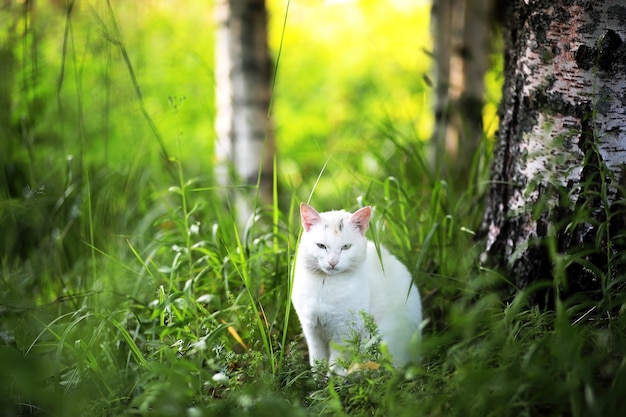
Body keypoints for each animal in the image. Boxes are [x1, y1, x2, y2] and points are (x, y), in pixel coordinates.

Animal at [292, 202, 420, 374]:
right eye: (321, 246)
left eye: (346, 247)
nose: (333, 262)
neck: (325, 285)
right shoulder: (312, 330)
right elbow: (317, 360)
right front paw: (317, 379)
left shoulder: (343, 333)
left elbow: (336, 363)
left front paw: (333, 379)